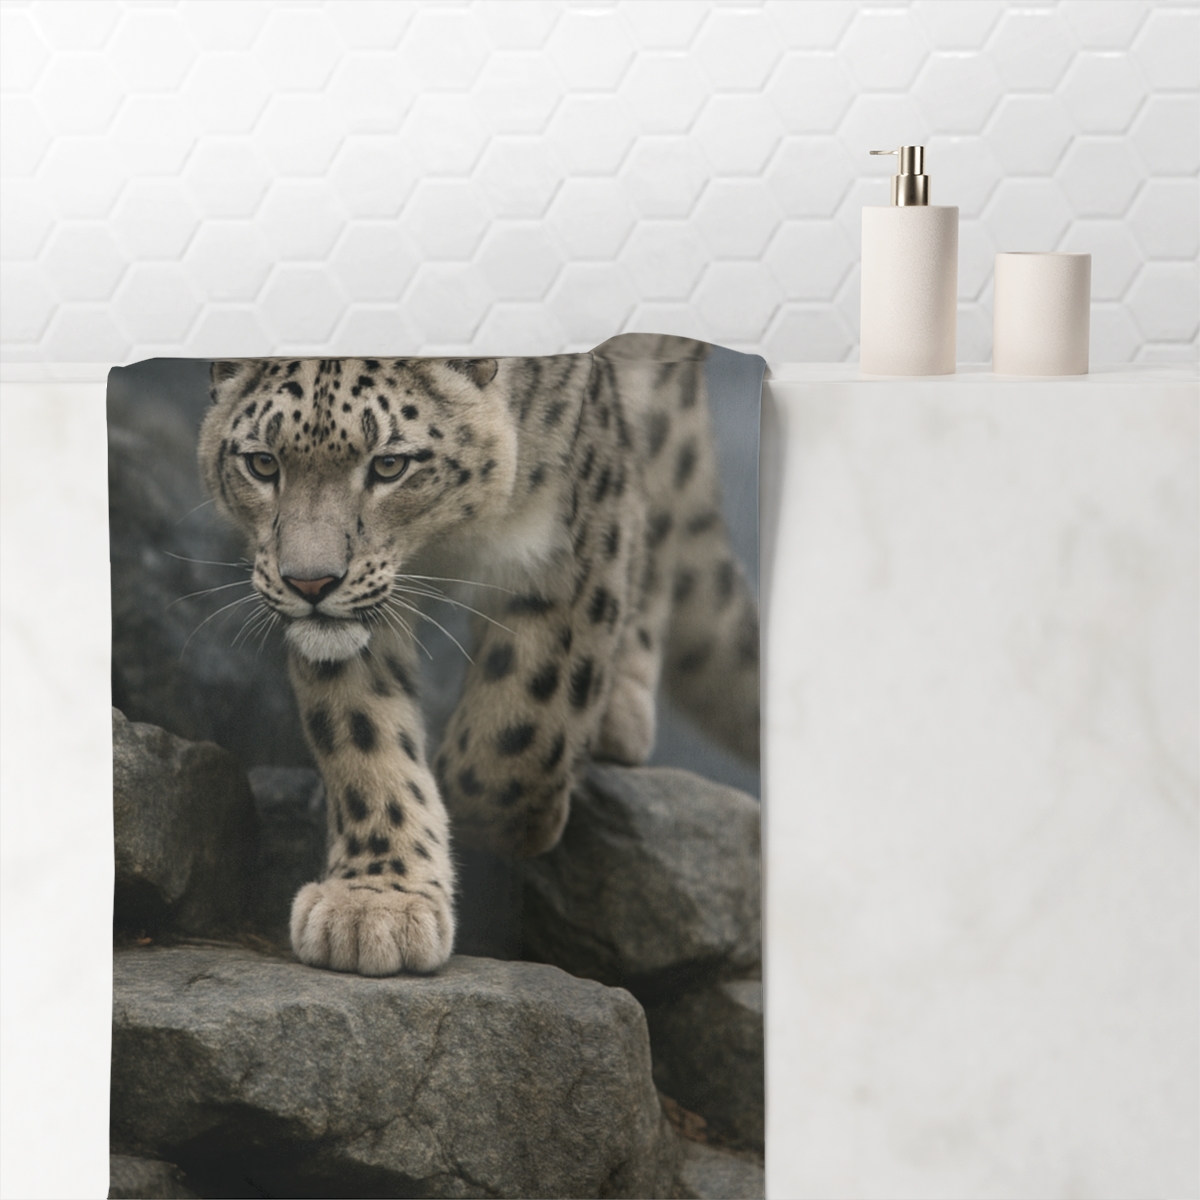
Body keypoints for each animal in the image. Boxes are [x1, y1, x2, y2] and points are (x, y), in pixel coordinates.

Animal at [198, 333, 759, 977]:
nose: (309, 583)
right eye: (263, 463)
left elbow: (520, 728)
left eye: (389, 464)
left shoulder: (569, 542)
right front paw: (375, 905)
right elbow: (359, 729)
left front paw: (508, 826)